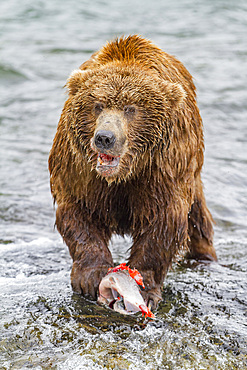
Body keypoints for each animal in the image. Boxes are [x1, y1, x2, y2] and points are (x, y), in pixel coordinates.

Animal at [48, 35, 216, 310]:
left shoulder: (163, 168)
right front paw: (89, 278)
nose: (105, 137)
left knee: (198, 217)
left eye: (131, 108)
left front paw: (144, 288)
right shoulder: (79, 168)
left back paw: (204, 256)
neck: (123, 174)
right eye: (97, 105)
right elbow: (77, 211)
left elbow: (164, 221)